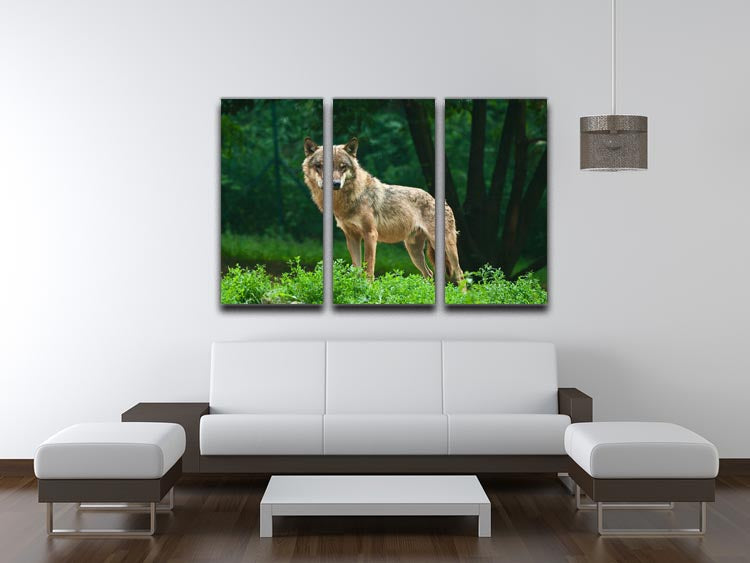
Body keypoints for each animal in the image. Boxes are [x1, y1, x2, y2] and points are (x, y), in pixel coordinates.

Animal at [302, 137, 464, 284]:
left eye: (343, 167)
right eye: (320, 166)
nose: (335, 184)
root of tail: (442, 201)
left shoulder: (370, 235)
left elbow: (368, 269)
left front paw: (368, 289)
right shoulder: (352, 237)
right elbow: (357, 269)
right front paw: (357, 289)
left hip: (446, 247)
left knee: (459, 273)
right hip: (414, 251)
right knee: (429, 274)